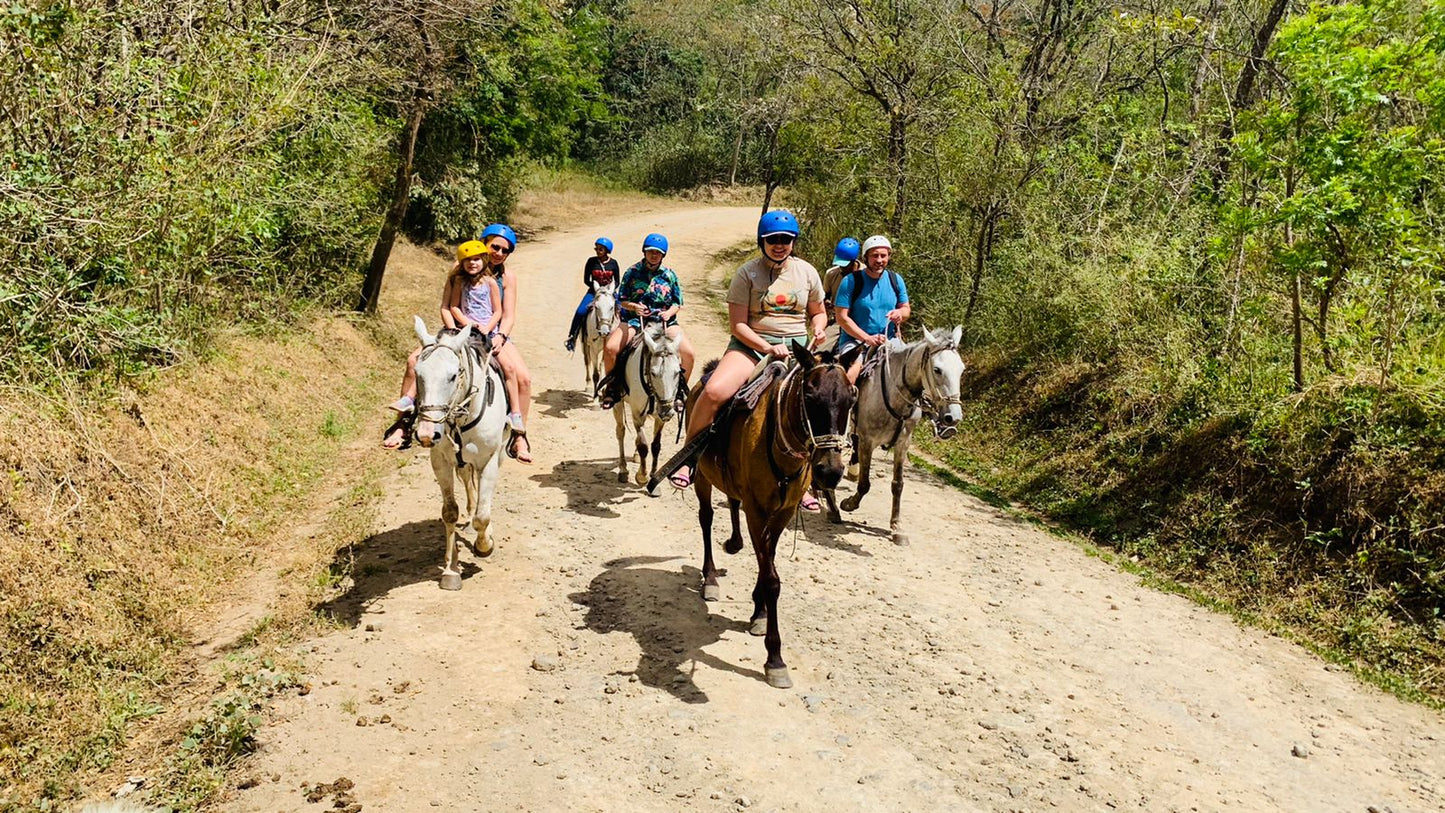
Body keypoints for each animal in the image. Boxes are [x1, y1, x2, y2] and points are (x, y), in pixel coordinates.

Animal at [413, 317, 508, 592]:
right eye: (417, 374)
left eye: (453, 375)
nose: (426, 433)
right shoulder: (440, 461)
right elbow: (450, 512)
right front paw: (451, 570)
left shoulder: (489, 461)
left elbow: (483, 516)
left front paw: (484, 546)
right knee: (468, 482)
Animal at [612, 323, 684, 490]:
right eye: (653, 373)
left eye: (677, 372)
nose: (667, 411)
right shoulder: (637, 414)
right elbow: (644, 445)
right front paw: (642, 477)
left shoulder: (659, 416)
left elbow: (656, 445)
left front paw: (653, 477)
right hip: (618, 404)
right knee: (621, 431)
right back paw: (623, 470)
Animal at [684, 340, 855, 690]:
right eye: (810, 396)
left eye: (851, 398)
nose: (830, 472)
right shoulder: (758, 511)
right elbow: (772, 578)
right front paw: (775, 658)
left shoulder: (782, 513)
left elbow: (768, 563)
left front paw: (759, 612)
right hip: (703, 478)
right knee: (706, 518)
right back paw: (710, 578)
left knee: (732, 504)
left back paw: (733, 543)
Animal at [820, 326, 965, 545]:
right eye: (937, 370)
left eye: (961, 369)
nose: (953, 419)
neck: (895, 393)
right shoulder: (868, 441)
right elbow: (865, 483)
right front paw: (848, 504)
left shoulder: (903, 443)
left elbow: (898, 485)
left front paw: (897, 527)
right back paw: (832, 507)